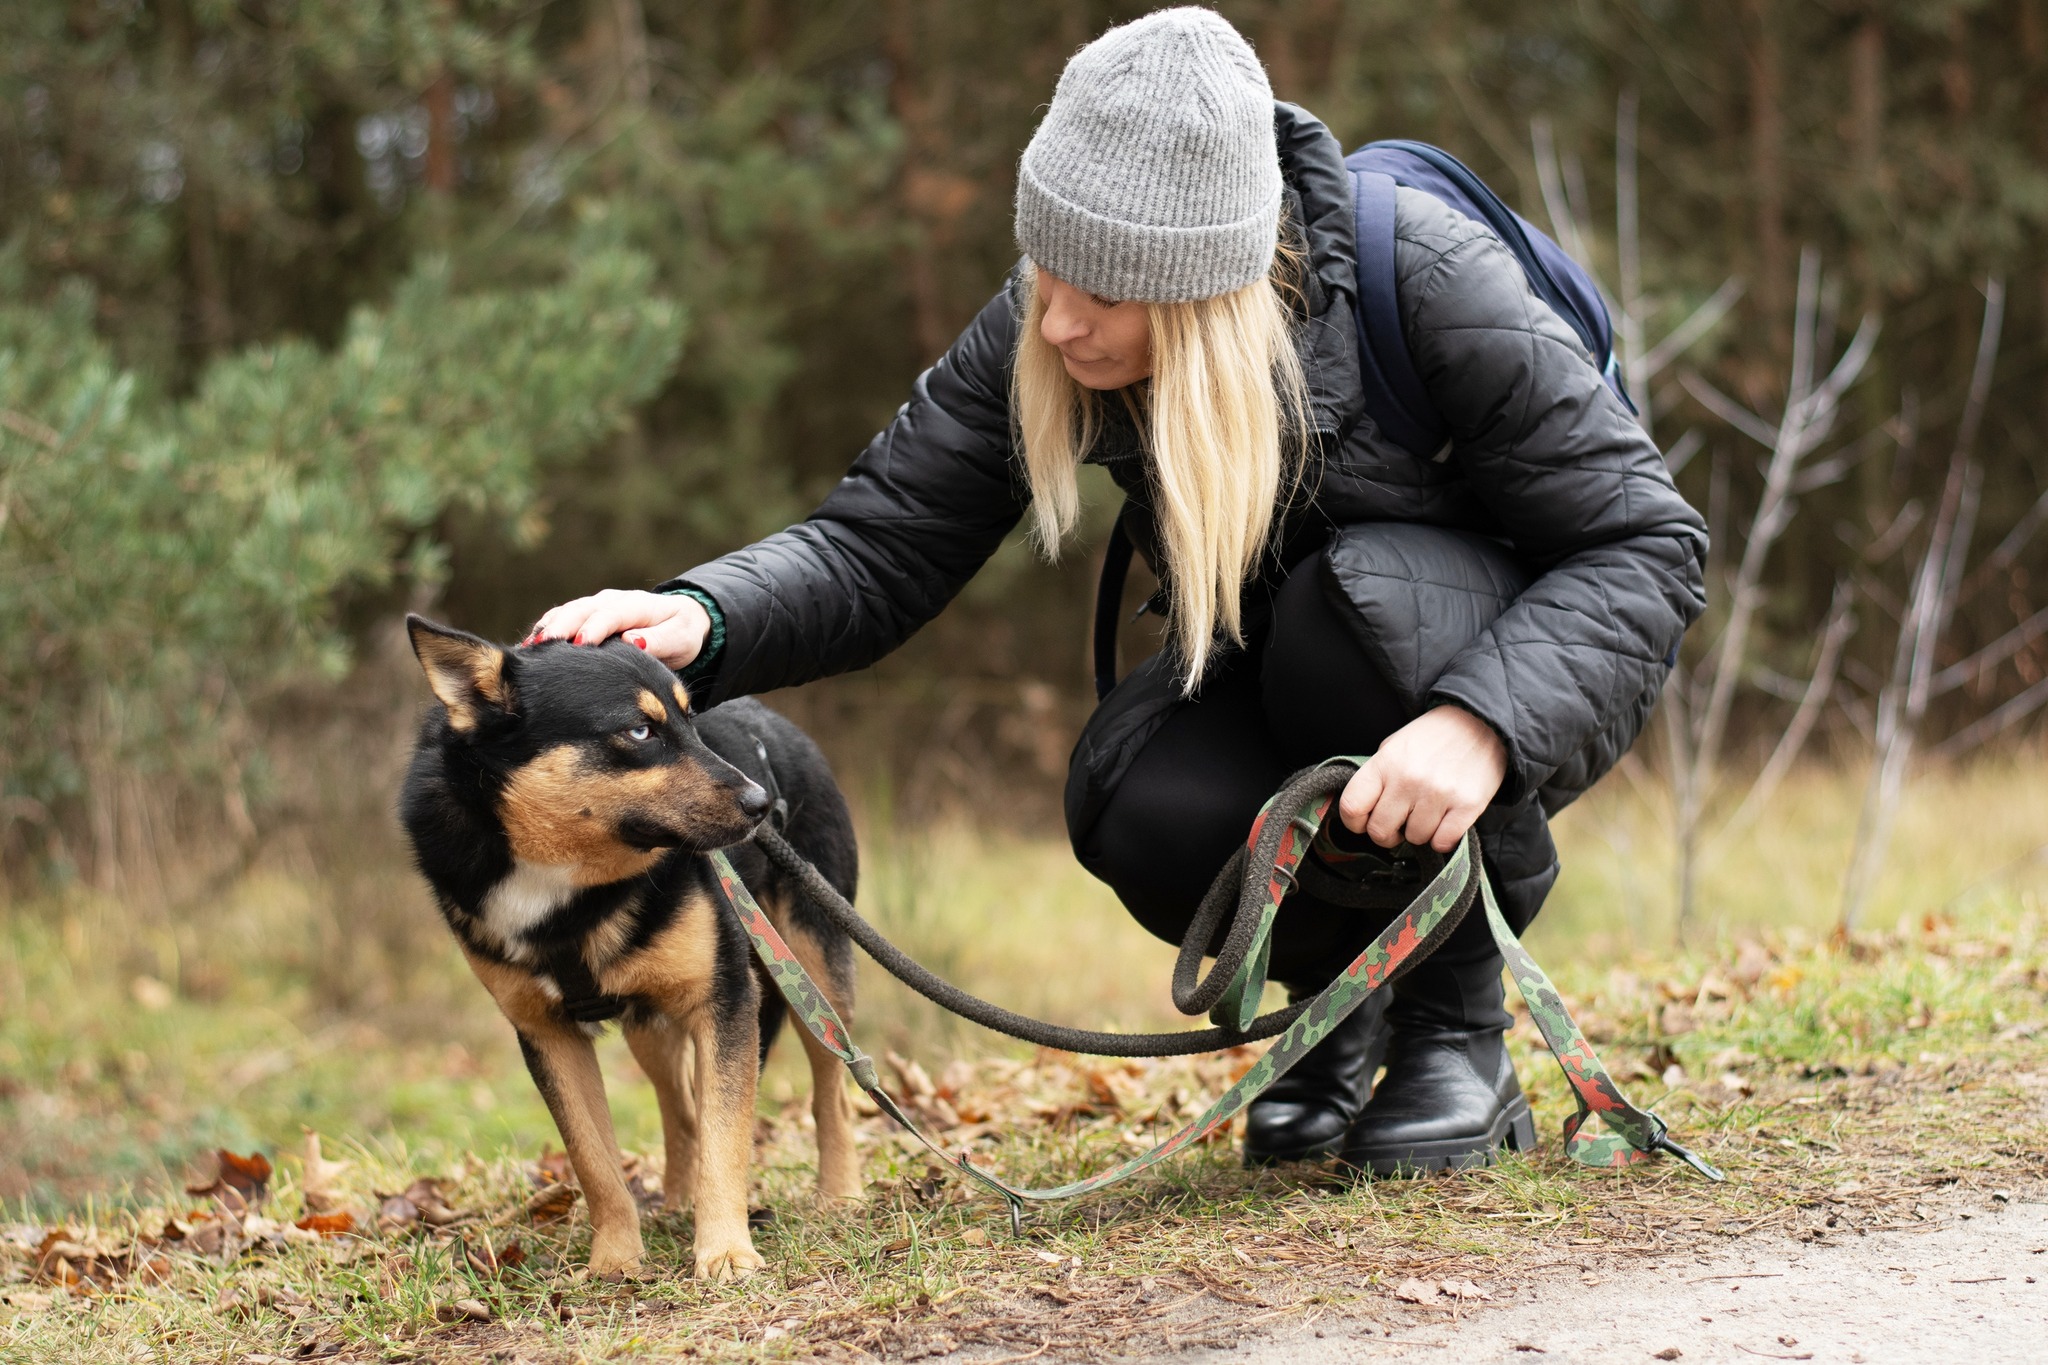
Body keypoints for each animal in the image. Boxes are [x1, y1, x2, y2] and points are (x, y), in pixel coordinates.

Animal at [399, 618, 856, 1285]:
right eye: (639, 731)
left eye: (691, 720)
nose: (760, 807)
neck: (562, 884)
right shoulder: (548, 1033)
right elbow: (595, 1161)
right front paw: (615, 1259)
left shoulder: (724, 1000)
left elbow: (726, 1137)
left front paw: (725, 1252)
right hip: (652, 1026)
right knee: (682, 1110)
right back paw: (678, 1202)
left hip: (811, 970)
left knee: (832, 1091)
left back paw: (840, 1195)